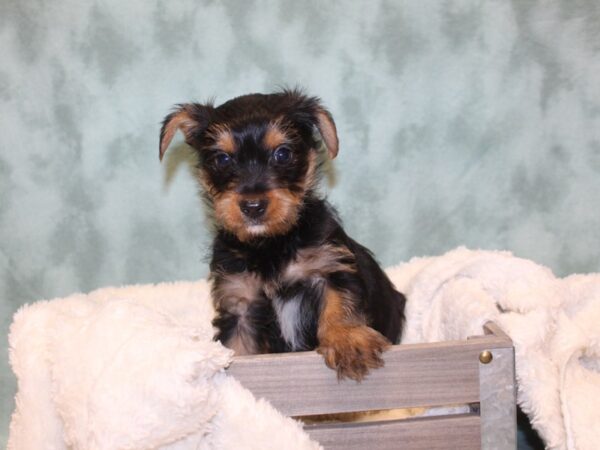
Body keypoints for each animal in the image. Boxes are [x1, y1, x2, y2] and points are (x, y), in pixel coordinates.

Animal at [157, 89, 406, 380]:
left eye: (283, 154)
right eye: (222, 159)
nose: (253, 206)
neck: (269, 243)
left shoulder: (330, 267)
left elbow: (339, 302)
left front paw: (347, 341)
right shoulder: (240, 303)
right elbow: (238, 345)